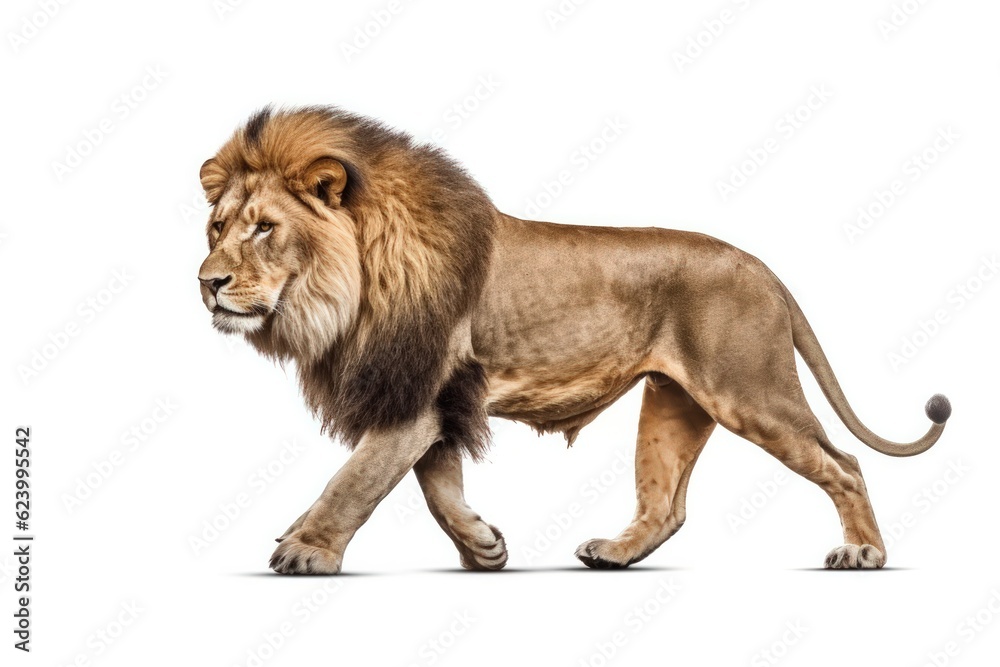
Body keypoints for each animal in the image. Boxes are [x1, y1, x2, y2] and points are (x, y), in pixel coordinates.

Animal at [197, 106, 951, 574]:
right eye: (217, 226)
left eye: (264, 227)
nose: (207, 282)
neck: (345, 294)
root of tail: (762, 268)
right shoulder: (439, 399)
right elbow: (437, 487)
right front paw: (485, 547)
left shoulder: (420, 393)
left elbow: (356, 478)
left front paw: (306, 551)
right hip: (674, 403)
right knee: (668, 504)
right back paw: (613, 553)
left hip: (752, 390)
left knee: (845, 464)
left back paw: (864, 554)